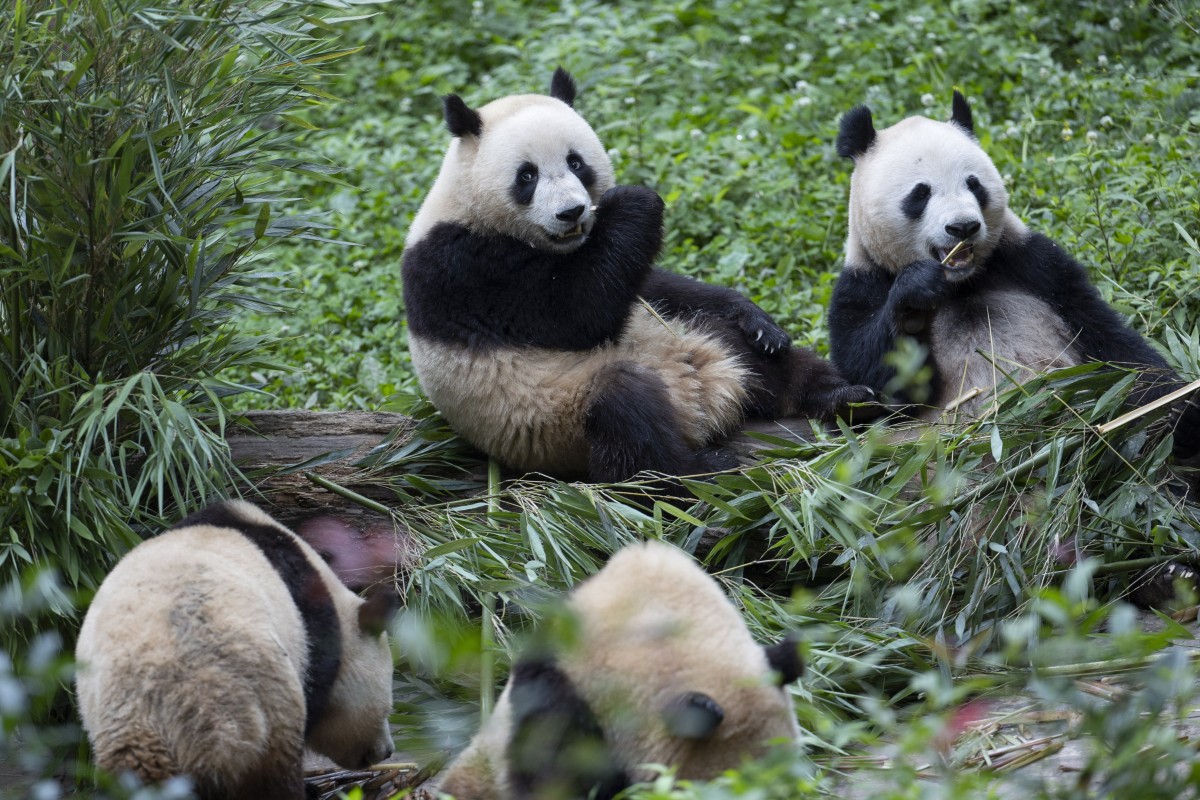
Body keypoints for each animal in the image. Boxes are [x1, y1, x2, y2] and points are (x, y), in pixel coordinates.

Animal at [75, 496, 398, 796]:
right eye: (387, 708)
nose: (387, 751)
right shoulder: (314, 634)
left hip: (121, 741)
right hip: (263, 715)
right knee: (273, 781)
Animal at [400, 68, 873, 482]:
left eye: (576, 163)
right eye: (527, 175)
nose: (571, 212)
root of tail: (705, 409)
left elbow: (646, 283)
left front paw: (756, 318)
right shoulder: (465, 266)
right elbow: (573, 315)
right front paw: (634, 200)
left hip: (691, 337)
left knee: (746, 350)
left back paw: (842, 397)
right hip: (558, 420)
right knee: (627, 418)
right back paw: (700, 467)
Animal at [825, 91, 1200, 455]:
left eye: (974, 184)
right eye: (920, 193)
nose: (963, 227)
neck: (961, 284)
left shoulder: (1033, 265)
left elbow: (1107, 340)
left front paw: (1178, 408)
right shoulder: (862, 284)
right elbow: (876, 381)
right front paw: (916, 300)